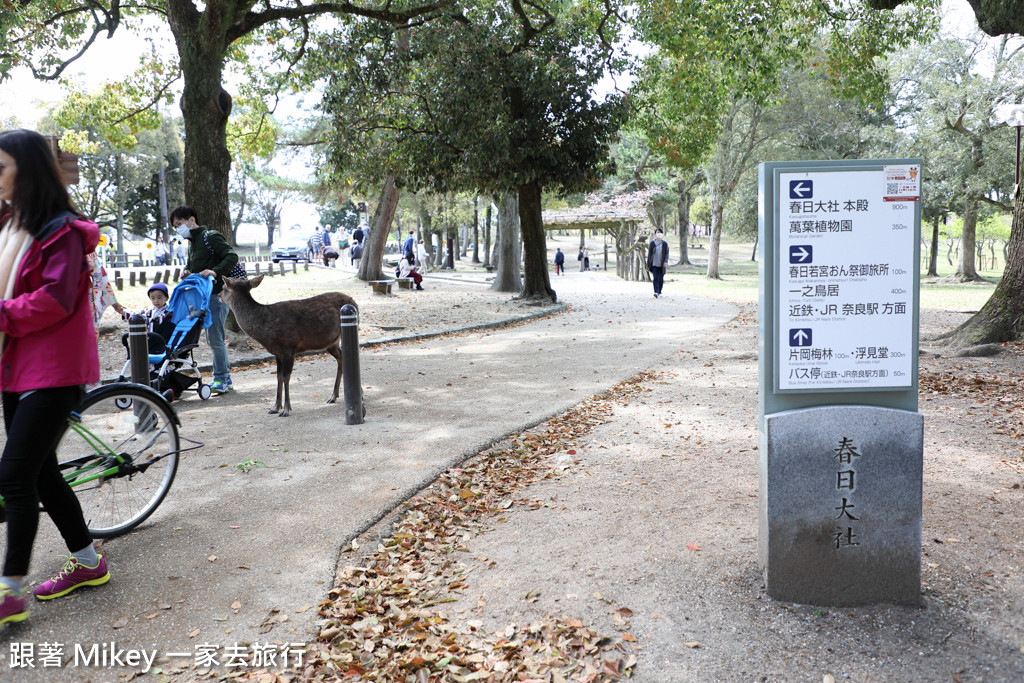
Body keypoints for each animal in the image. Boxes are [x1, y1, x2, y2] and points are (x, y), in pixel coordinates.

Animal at [218, 276, 358, 417]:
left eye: (224, 287)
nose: (218, 295)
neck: (265, 330)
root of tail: (354, 302)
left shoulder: (289, 347)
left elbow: (286, 377)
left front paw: (286, 409)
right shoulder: (277, 353)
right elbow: (278, 377)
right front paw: (275, 407)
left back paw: (355, 396)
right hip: (331, 342)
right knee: (341, 358)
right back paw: (334, 396)